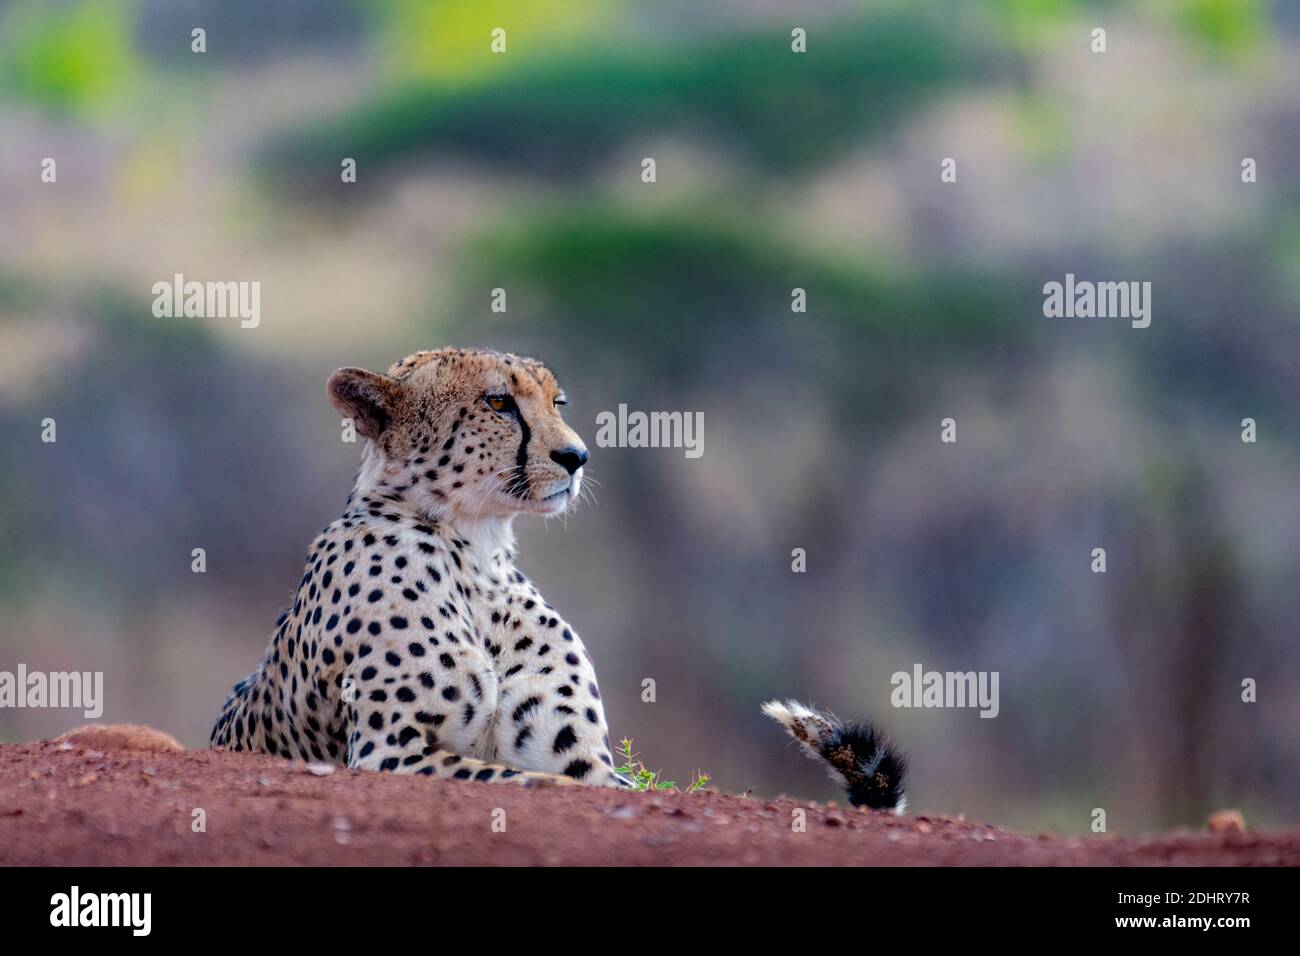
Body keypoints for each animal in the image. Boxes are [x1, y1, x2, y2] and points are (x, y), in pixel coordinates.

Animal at [213, 348, 629, 790]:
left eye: (557, 403)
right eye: (499, 402)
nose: (576, 457)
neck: (477, 555)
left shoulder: (583, 759)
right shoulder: (389, 750)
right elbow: (525, 778)